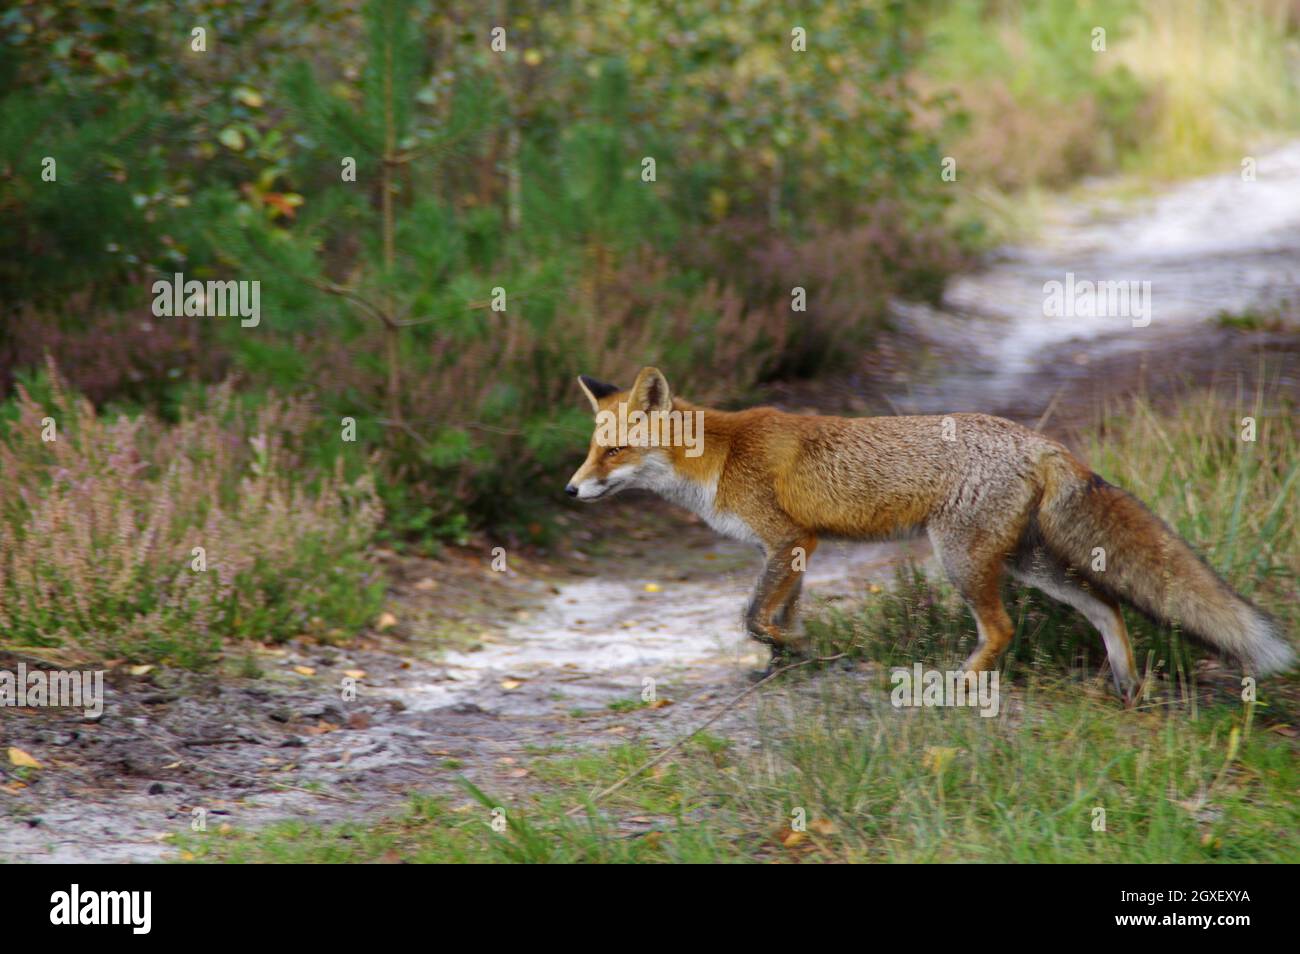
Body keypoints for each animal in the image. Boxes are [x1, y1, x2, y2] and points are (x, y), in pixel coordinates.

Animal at [565, 366, 1294, 701]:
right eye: (591, 449)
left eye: (614, 452)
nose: (570, 490)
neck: (718, 455)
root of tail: (1040, 441)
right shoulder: (796, 549)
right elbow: (778, 618)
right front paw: (787, 661)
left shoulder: (789, 542)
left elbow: (753, 616)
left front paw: (792, 651)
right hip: (1026, 563)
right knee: (1106, 604)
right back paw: (1125, 683)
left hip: (960, 559)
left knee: (1003, 628)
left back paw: (957, 683)